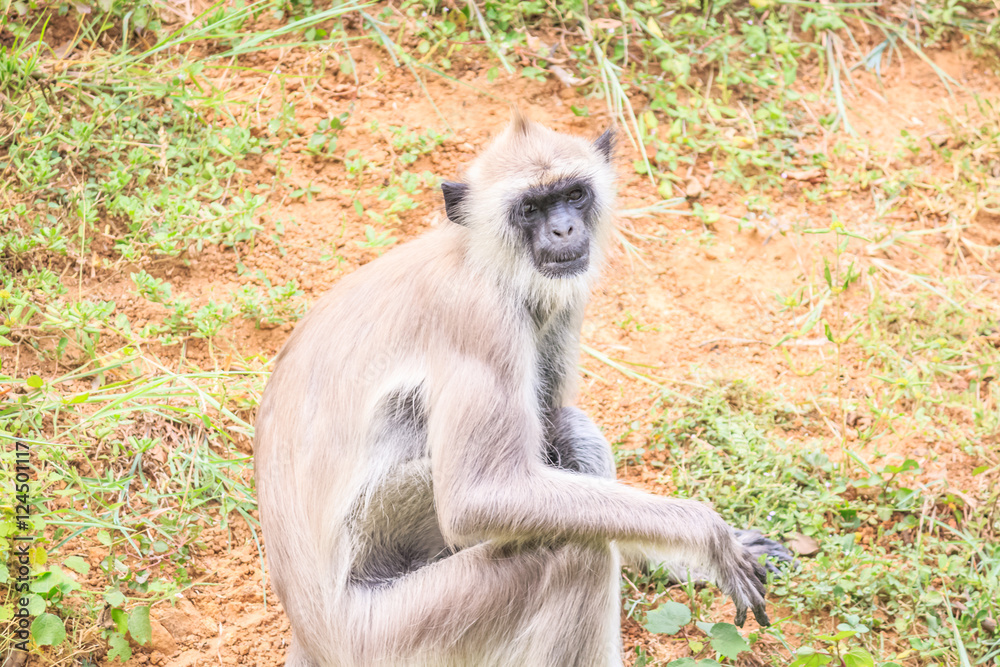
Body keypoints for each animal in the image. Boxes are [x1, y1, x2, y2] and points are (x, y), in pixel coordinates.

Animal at [253, 114, 789, 667]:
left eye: (573, 195)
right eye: (530, 209)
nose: (563, 229)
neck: (480, 257)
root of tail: (312, 636)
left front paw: (680, 561)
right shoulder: (481, 317)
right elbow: (478, 497)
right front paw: (708, 537)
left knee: (566, 430)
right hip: (396, 631)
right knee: (574, 552)